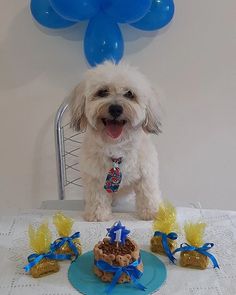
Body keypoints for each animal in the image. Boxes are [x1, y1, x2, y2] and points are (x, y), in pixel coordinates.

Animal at [69, 61, 162, 222]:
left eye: (129, 94)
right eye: (102, 92)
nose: (116, 109)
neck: (116, 145)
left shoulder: (146, 173)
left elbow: (148, 194)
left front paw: (151, 213)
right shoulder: (95, 177)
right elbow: (97, 198)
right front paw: (97, 215)